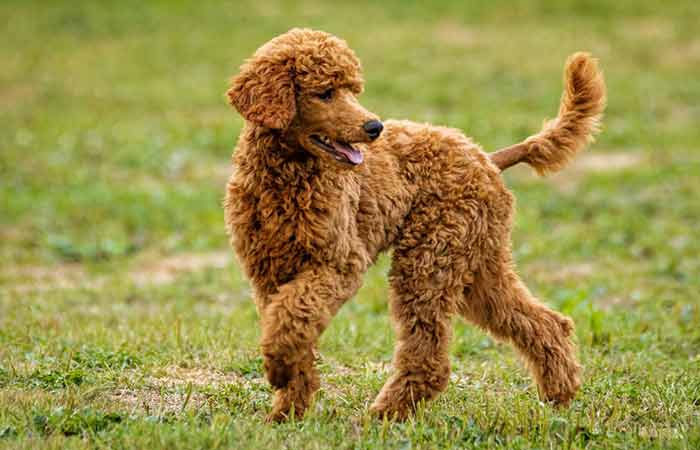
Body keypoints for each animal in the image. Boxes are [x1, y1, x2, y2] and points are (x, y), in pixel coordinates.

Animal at [226, 28, 608, 422]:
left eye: (353, 89)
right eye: (325, 92)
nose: (374, 127)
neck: (286, 178)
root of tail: (487, 157)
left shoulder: (339, 263)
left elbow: (292, 317)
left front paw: (278, 367)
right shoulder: (268, 274)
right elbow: (291, 326)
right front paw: (287, 409)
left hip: (431, 257)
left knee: (429, 355)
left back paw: (386, 413)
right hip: (476, 265)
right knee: (544, 322)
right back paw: (559, 394)